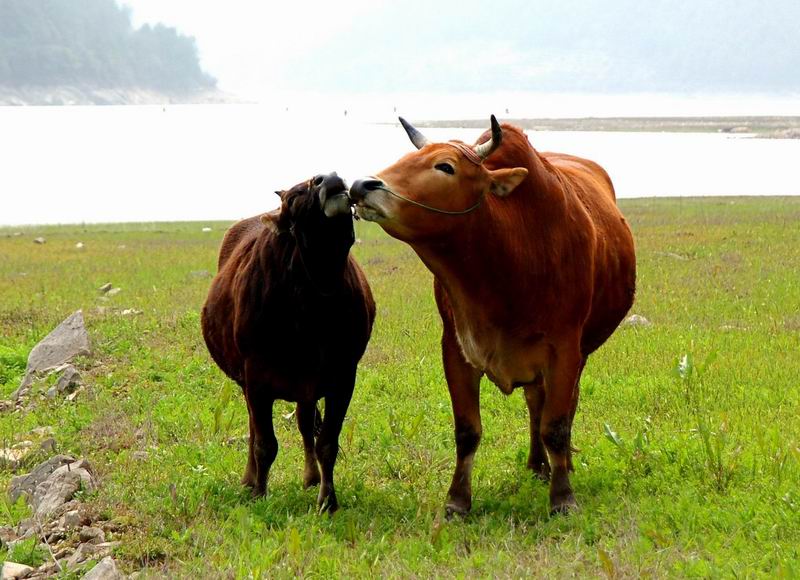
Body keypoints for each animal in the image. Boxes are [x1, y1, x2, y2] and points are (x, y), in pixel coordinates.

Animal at [200, 172, 376, 512]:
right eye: (294, 197)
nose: (329, 178)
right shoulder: (255, 378)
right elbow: (264, 443)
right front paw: (259, 491)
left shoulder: (343, 377)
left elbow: (326, 443)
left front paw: (327, 499)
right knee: (254, 429)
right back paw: (250, 478)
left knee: (306, 423)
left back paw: (310, 477)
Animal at [350, 115, 636, 516]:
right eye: (409, 156)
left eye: (445, 166)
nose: (361, 185)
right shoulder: (455, 349)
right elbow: (468, 430)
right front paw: (457, 501)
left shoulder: (565, 350)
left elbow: (556, 426)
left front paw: (563, 498)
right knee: (535, 405)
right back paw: (536, 465)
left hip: (581, 354)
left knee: (563, 409)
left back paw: (560, 465)